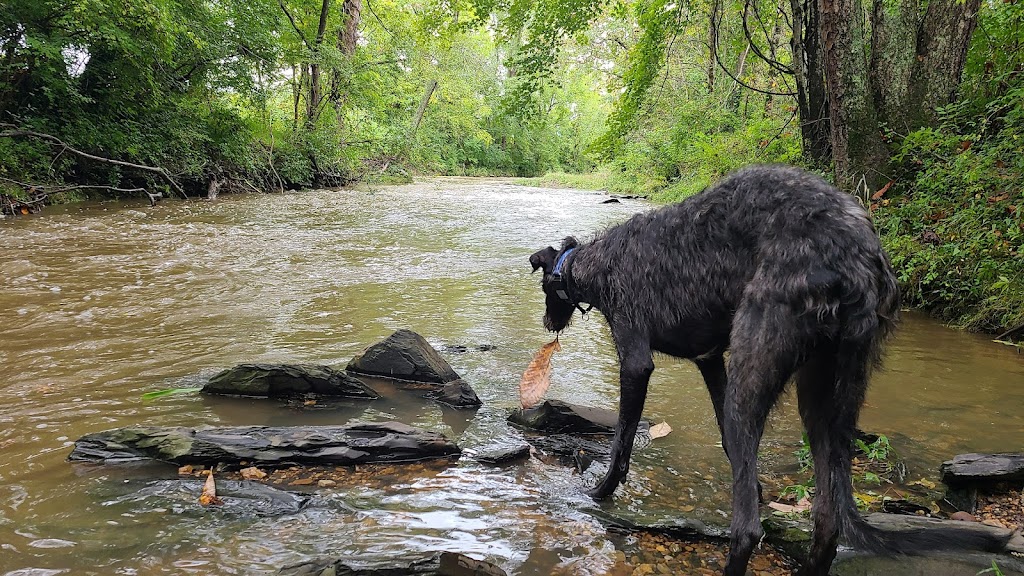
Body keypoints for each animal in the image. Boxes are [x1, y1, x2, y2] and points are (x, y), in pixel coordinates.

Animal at [532, 165, 1003, 573]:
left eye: (544, 290)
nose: (548, 322)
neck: (594, 262)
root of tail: (855, 259)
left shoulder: (635, 358)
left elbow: (622, 442)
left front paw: (598, 493)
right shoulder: (711, 362)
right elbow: (728, 443)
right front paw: (756, 488)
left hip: (757, 368)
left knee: (747, 531)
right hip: (825, 395)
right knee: (827, 524)